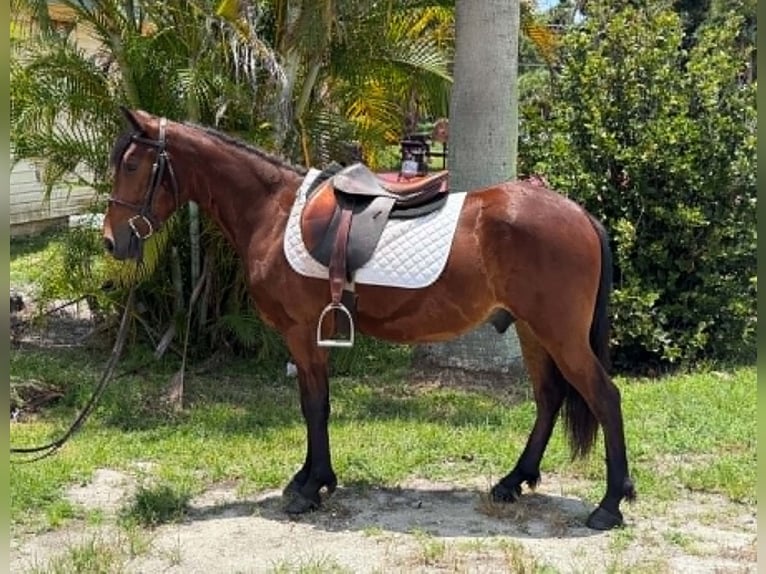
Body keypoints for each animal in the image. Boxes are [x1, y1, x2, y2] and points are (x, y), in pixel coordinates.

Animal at [102, 108, 635, 530]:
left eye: (131, 164)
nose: (112, 241)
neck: (273, 211)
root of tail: (580, 215)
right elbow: (312, 403)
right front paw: (310, 478)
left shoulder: (302, 333)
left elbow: (314, 406)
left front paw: (311, 488)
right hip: (531, 330)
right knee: (548, 399)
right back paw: (512, 482)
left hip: (559, 333)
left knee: (605, 398)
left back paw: (608, 505)